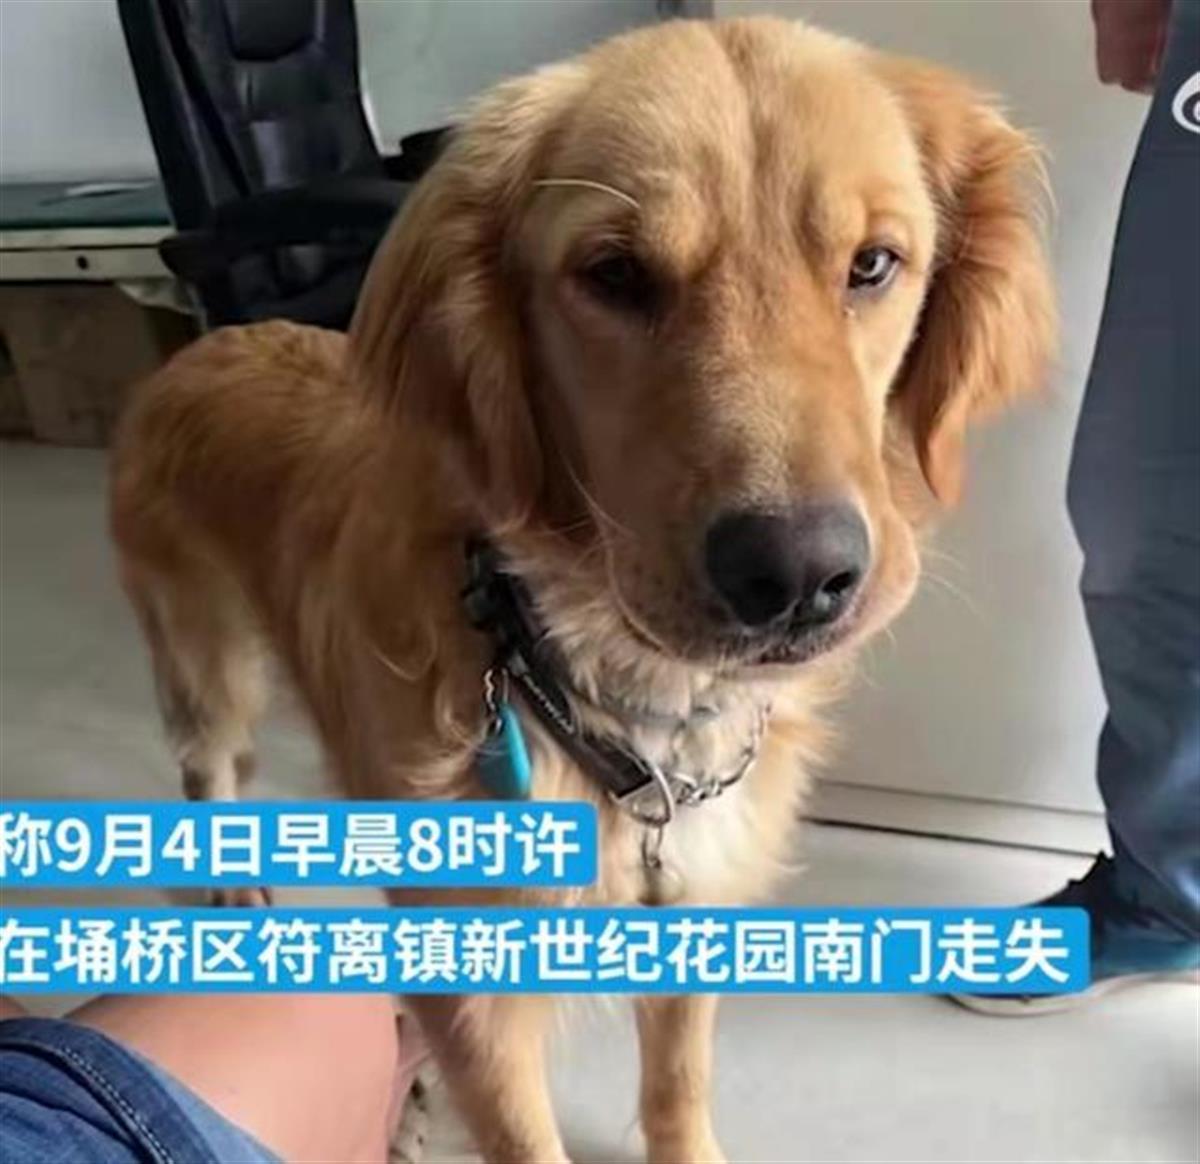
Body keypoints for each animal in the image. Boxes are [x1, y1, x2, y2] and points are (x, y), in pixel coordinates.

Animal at [110, 17, 1055, 1164]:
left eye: (873, 264)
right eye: (615, 275)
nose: (797, 575)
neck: (628, 704)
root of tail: (203, 343)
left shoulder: (691, 903)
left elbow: (679, 1085)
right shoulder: (476, 996)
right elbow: (524, 1133)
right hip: (205, 657)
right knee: (208, 765)